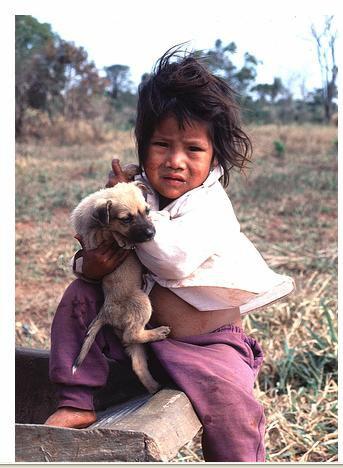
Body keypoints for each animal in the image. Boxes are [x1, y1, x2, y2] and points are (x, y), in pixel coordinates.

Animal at [71, 181, 171, 394]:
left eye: (147, 210)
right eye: (126, 219)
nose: (151, 234)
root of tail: (105, 312)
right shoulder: (97, 235)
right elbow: (110, 232)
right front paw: (123, 239)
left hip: (129, 334)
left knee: (137, 359)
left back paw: (154, 387)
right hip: (141, 302)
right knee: (133, 335)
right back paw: (159, 332)